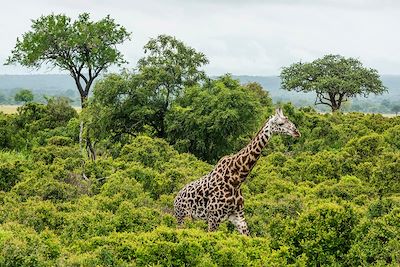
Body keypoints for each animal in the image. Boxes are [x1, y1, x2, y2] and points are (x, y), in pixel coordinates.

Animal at [172, 108, 300, 236]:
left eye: (288, 120)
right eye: (280, 124)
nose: (297, 132)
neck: (236, 180)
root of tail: (175, 200)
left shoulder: (238, 216)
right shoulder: (213, 217)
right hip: (183, 217)